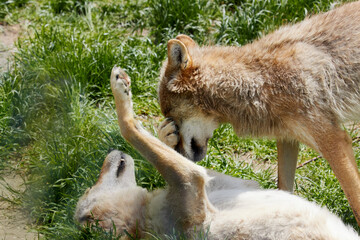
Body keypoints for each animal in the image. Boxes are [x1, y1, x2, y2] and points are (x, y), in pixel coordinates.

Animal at [74, 66, 360, 239]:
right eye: (88, 191)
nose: (110, 153)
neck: (145, 220)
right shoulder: (192, 181)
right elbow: (127, 126)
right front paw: (119, 91)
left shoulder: (241, 184)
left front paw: (168, 134)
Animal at [158, 1, 360, 225]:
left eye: (169, 113)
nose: (180, 153)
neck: (261, 80)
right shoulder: (287, 139)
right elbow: (284, 189)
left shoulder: (334, 141)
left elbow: (355, 200)